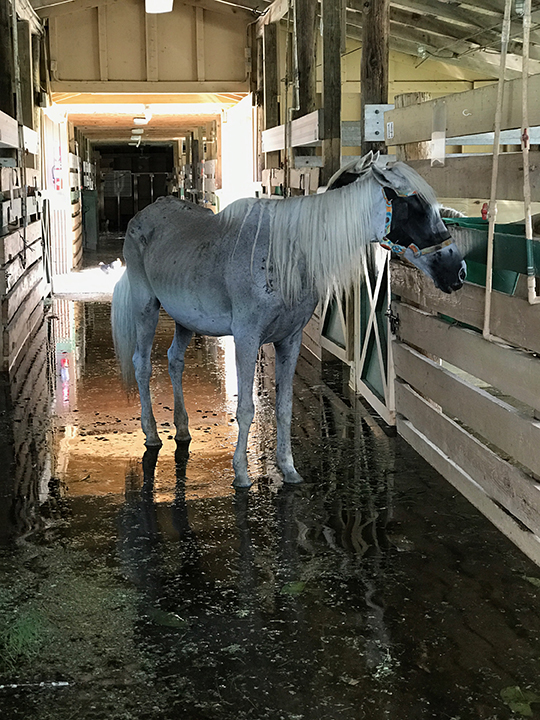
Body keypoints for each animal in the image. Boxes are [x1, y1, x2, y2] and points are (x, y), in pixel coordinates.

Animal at [112, 152, 466, 490]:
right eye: (415, 205)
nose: (457, 271)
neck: (286, 254)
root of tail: (145, 214)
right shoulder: (246, 339)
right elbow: (246, 408)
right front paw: (241, 474)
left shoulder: (290, 339)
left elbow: (283, 407)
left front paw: (288, 469)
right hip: (146, 307)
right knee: (142, 364)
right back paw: (152, 434)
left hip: (186, 320)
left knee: (174, 360)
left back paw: (183, 429)